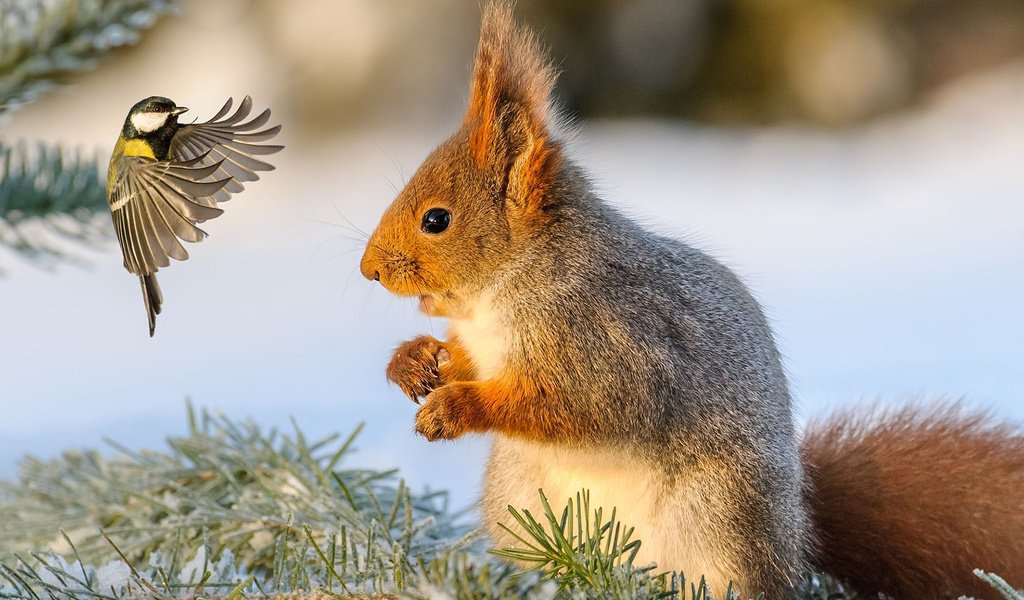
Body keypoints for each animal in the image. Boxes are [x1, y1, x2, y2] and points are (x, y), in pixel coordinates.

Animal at [356, 5, 1019, 597]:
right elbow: (464, 360)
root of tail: (796, 534)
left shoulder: (610, 342)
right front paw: (415, 362)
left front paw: (454, 407)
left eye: (436, 219)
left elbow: (576, 406)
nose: (368, 271)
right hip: (521, 499)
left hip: (719, 515)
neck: (502, 293)